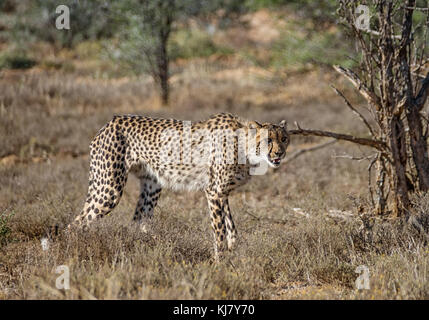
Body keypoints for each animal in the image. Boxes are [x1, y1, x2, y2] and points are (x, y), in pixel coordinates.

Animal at [68, 113, 290, 260]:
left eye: (284, 138)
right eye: (268, 139)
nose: (279, 153)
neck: (244, 146)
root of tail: (110, 123)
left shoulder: (221, 192)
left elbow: (231, 227)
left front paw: (233, 251)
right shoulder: (213, 191)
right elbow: (219, 230)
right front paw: (220, 261)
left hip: (152, 186)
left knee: (137, 222)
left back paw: (150, 249)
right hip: (109, 188)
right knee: (76, 224)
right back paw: (74, 251)